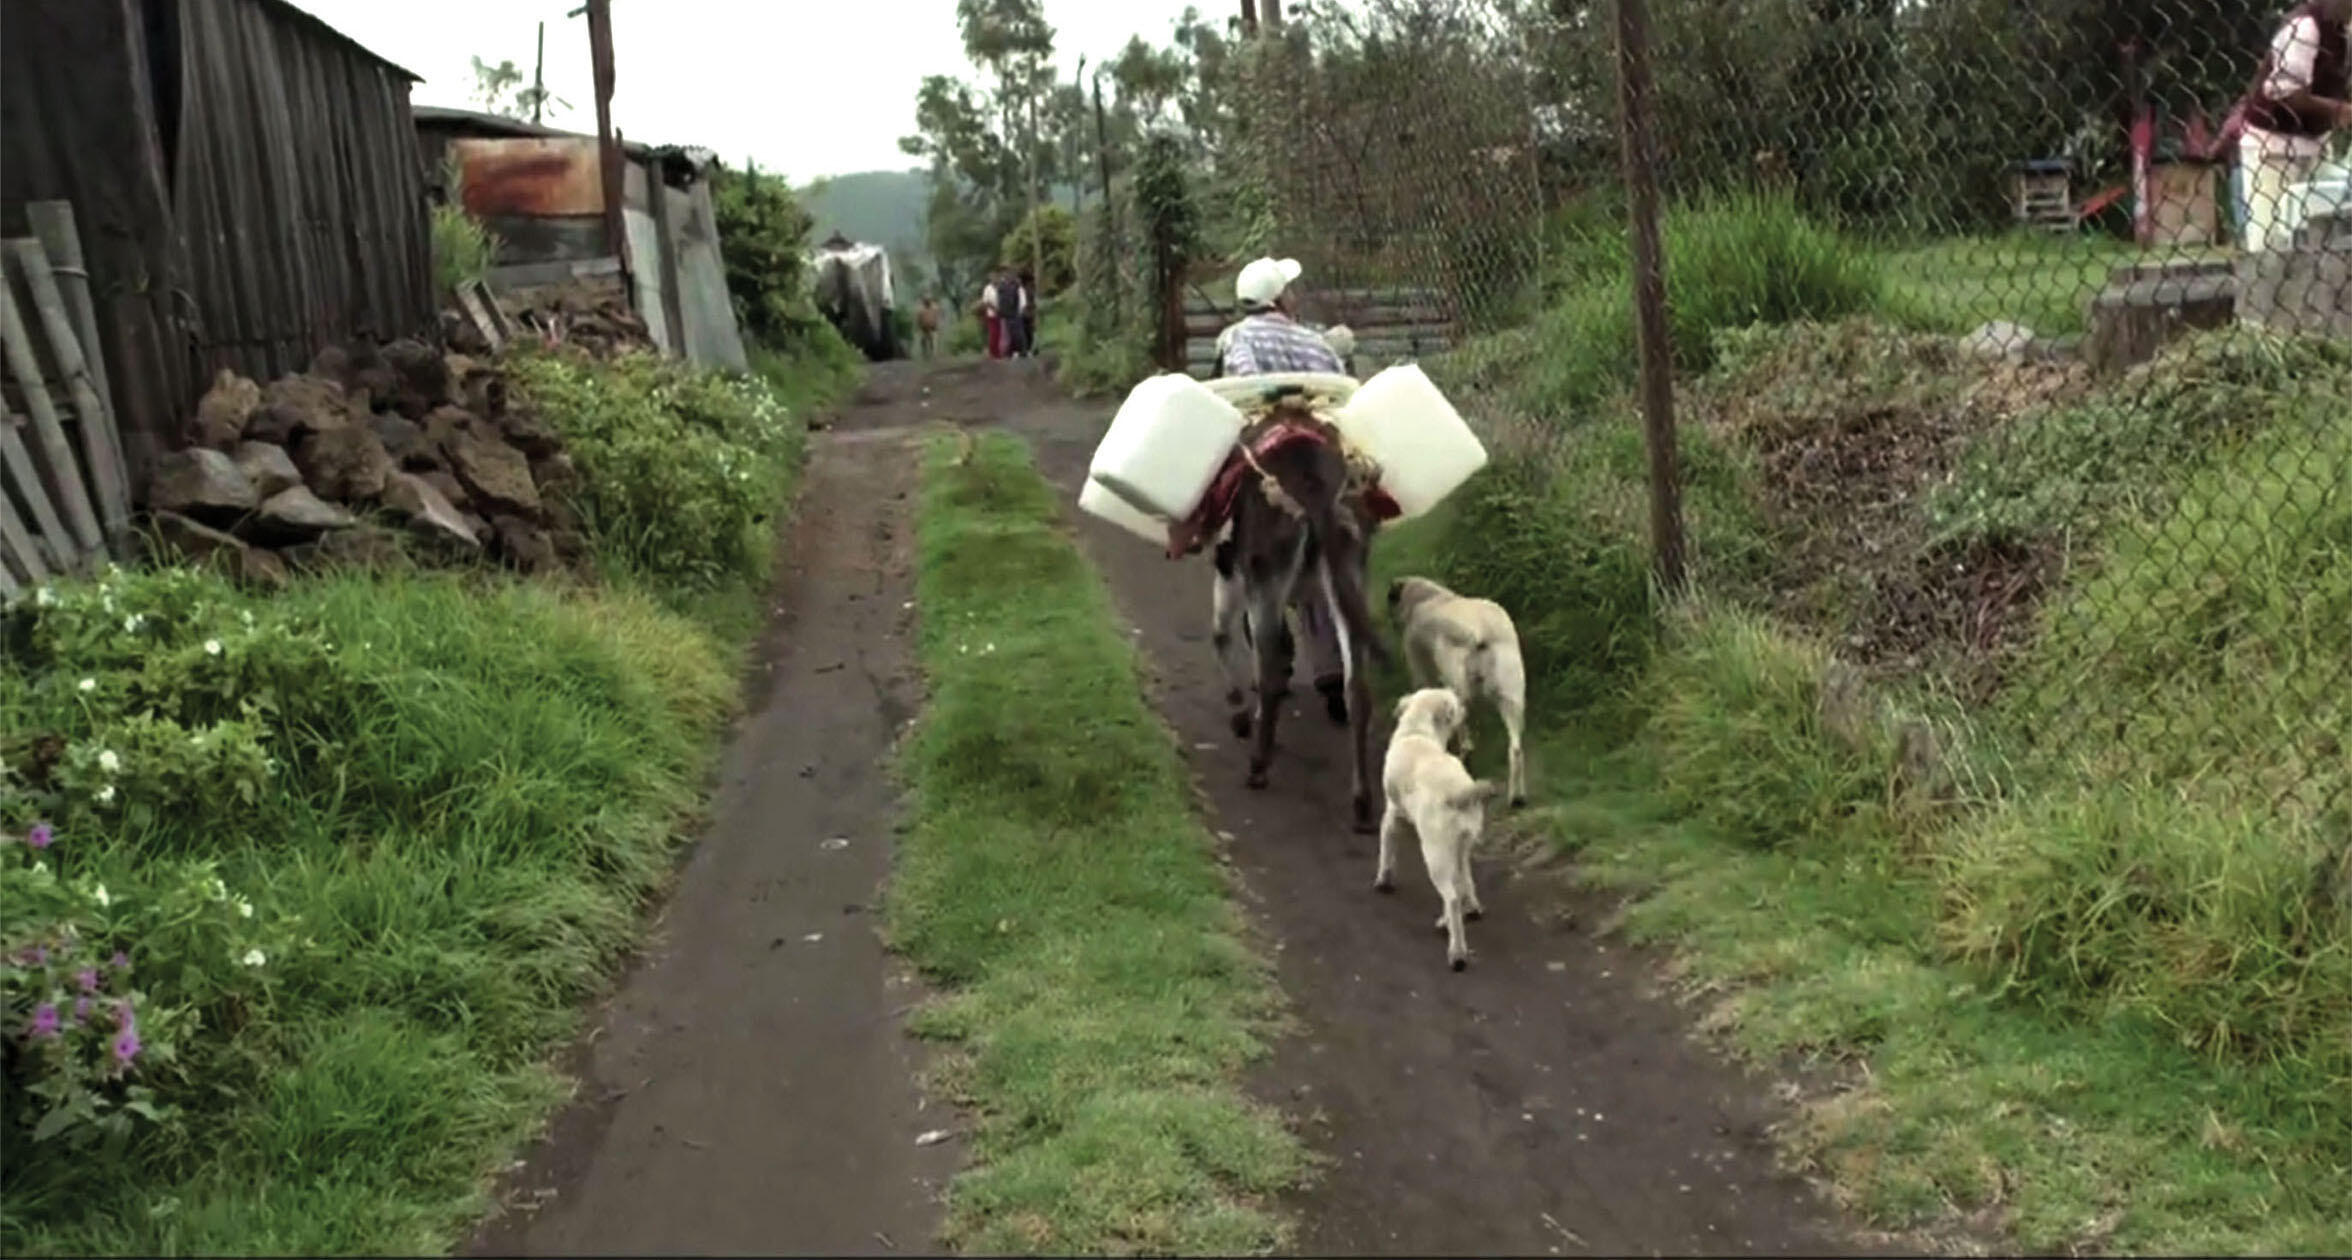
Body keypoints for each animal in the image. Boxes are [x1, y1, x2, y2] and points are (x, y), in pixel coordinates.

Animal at [1373, 691, 1505, 973]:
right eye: (1455, 704)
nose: (1466, 705)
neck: (1417, 730)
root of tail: (1460, 792)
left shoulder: (1391, 815)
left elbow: (1386, 850)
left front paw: (1383, 880)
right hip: (1459, 846)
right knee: (1462, 883)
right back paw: (1466, 912)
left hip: (1435, 853)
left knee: (1452, 897)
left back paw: (1457, 952)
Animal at [1382, 573, 1533, 803]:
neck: (1429, 598)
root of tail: (1479, 632)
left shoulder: (1420, 671)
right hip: (1512, 694)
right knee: (1515, 749)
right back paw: (1517, 798)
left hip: (1459, 690)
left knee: (1467, 741)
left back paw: (1466, 761)